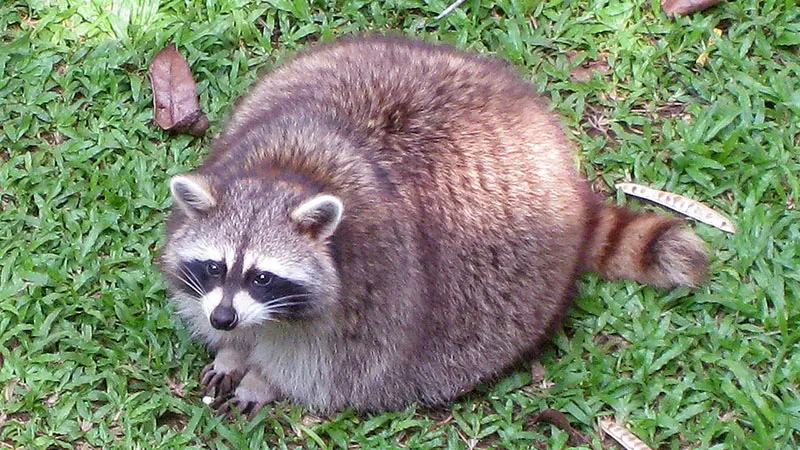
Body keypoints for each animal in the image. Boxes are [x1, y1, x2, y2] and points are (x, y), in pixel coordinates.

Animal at [159, 35, 708, 414]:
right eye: (214, 267)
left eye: (262, 277)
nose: (224, 320)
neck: (289, 173)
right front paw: (234, 352)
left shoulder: (378, 288)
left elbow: (328, 365)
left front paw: (264, 379)